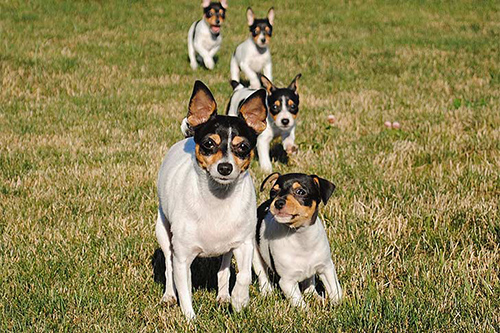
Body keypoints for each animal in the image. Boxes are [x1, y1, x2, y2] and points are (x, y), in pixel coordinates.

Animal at [252, 172, 342, 308]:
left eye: (300, 192)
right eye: (273, 192)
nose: (278, 202)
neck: (301, 237)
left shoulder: (326, 268)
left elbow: (335, 290)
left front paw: (339, 305)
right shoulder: (287, 282)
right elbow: (300, 304)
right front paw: (308, 312)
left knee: (309, 284)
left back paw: (317, 297)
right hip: (256, 256)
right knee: (262, 274)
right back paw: (267, 292)